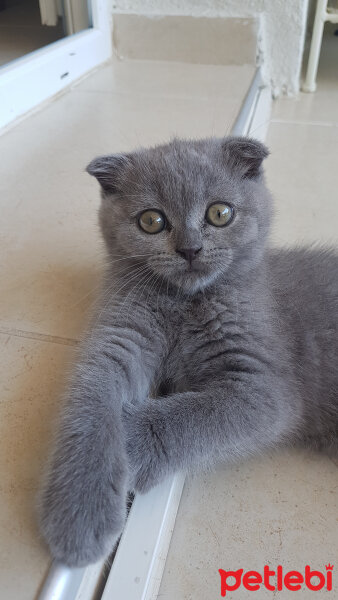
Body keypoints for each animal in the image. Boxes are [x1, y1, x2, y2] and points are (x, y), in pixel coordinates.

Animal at [37, 136, 338, 568]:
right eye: (151, 220)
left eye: (220, 213)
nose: (190, 249)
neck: (184, 303)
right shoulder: (117, 337)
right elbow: (89, 406)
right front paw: (79, 509)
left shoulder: (264, 387)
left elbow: (192, 415)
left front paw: (129, 439)